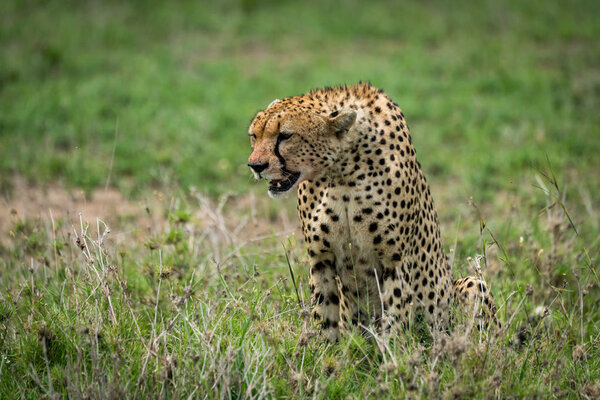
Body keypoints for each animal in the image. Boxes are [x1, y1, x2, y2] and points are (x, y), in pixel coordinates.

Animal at [246, 83, 494, 340]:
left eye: (285, 136)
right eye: (254, 136)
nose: (255, 166)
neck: (340, 171)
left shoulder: (395, 260)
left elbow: (395, 318)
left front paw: (393, 350)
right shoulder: (321, 258)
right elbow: (325, 315)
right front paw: (324, 350)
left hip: (469, 286)